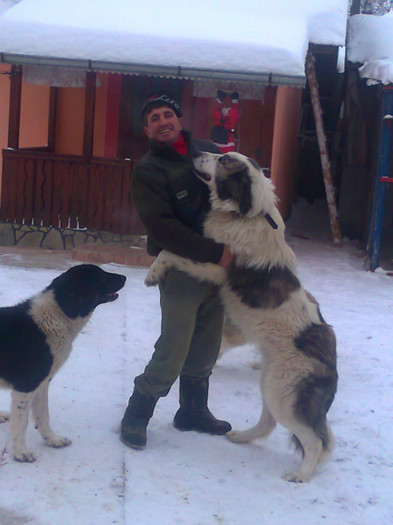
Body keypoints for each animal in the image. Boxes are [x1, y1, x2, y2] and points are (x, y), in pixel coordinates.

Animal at [0, 264, 125, 460]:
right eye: (101, 276)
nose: (125, 277)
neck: (58, 315)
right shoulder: (26, 386)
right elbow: (21, 422)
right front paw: (21, 452)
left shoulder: (42, 384)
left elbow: (43, 415)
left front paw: (52, 440)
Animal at [145, 151, 336, 484]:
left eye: (223, 160)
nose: (196, 152)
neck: (247, 214)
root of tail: (330, 359)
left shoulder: (215, 266)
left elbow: (169, 252)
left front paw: (152, 273)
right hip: (271, 384)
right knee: (269, 424)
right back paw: (242, 437)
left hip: (283, 394)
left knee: (312, 441)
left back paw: (301, 475)